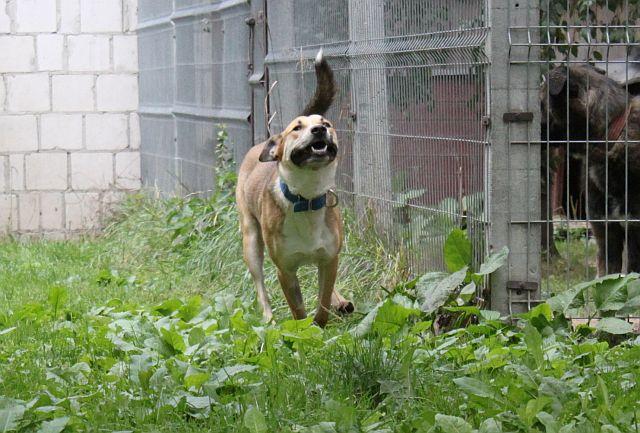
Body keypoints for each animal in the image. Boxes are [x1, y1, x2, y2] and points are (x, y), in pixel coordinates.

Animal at [236, 50, 354, 326]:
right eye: (296, 128)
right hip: (251, 240)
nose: (319, 129)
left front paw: (320, 324)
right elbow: (298, 310)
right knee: (259, 285)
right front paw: (302, 331)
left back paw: (341, 301)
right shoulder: (286, 270)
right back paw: (268, 318)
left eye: (327, 124)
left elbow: (322, 301)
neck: (307, 197)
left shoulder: (330, 259)